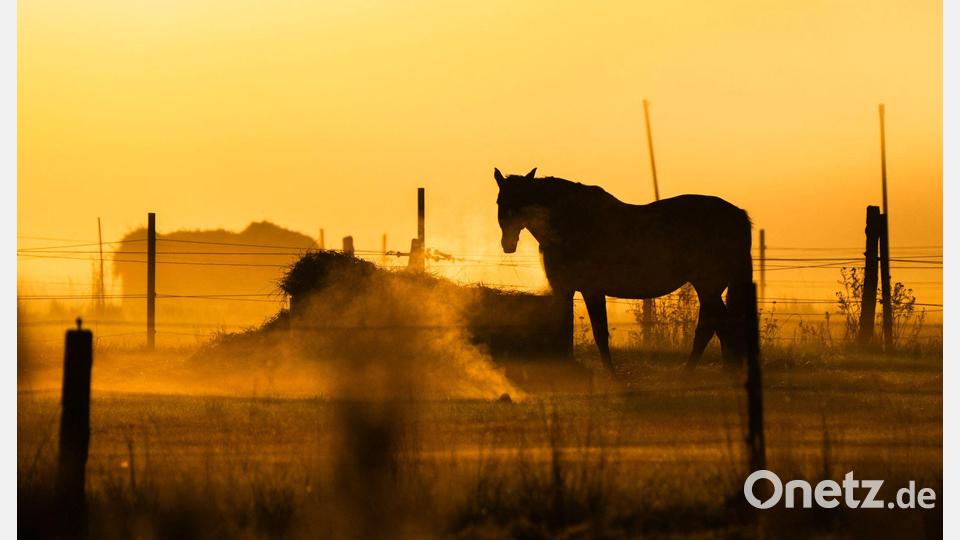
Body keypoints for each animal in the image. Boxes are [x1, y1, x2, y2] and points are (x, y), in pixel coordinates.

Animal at [494, 167, 753, 370]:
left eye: (521, 201)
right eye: (500, 201)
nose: (508, 244)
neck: (572, 222)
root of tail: (738, 215)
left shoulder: (591, 290)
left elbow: (598, 333)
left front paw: (611, 375)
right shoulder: (565, 288)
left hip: (708, 285)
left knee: (716, 326)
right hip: (710, 287)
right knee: (714, 326)